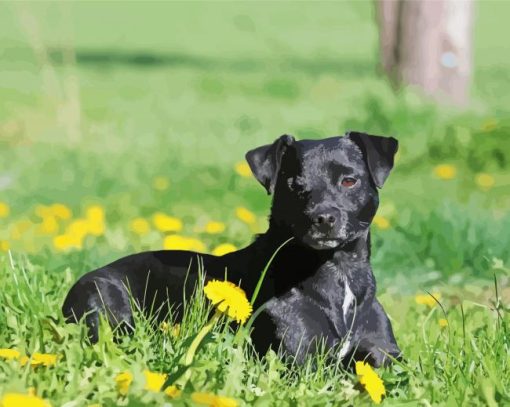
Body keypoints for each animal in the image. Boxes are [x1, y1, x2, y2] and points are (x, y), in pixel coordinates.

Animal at [62, 132, 398, 368]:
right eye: (294, 185)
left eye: (349, 180)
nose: (324, 217)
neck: (337, 271)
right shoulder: (302, 360)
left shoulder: (386, 357)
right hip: (107, 305)